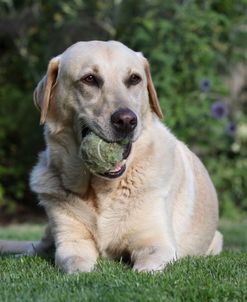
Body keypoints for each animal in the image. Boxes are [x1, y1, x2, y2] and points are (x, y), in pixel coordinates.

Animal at [0, 40, 222, 274]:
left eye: (134, 79)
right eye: (89, 79)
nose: (126, 121)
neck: (100, 189)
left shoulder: (157, 243)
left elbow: (146, 270)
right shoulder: (72, 242)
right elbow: (76, 263)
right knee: (35, 248)